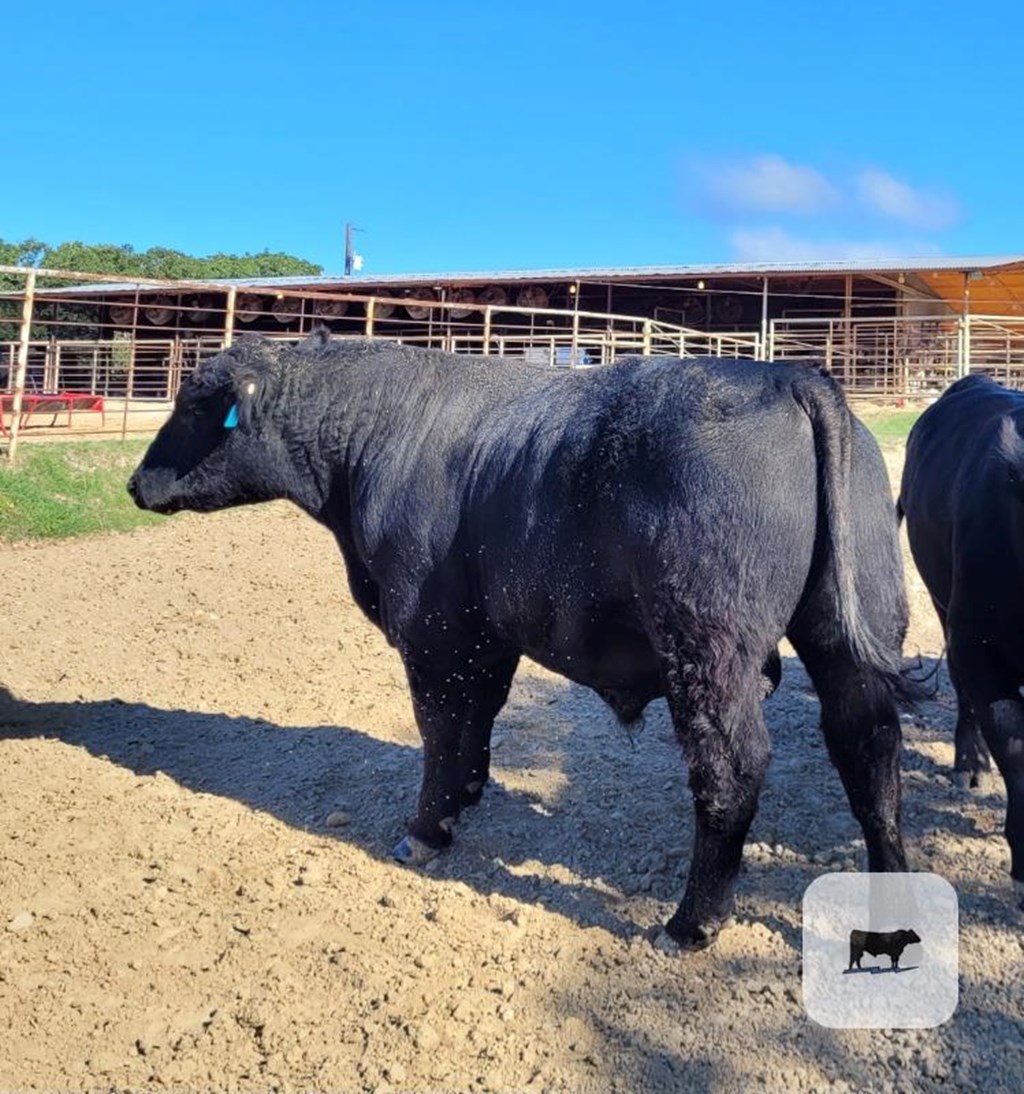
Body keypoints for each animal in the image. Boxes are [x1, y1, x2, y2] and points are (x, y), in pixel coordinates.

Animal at [130, 330, 918, 949]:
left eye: (194, 405)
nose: (136, 484)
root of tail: (784, 376)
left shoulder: (432, 632)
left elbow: (440, 727)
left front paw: (426, 829)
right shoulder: (488, 635)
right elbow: (476, 719)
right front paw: (469, 793)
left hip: (707, 646)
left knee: (732, 769)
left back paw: (690, 923)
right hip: (849, 629)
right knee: (869, 744)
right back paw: (889, 904)